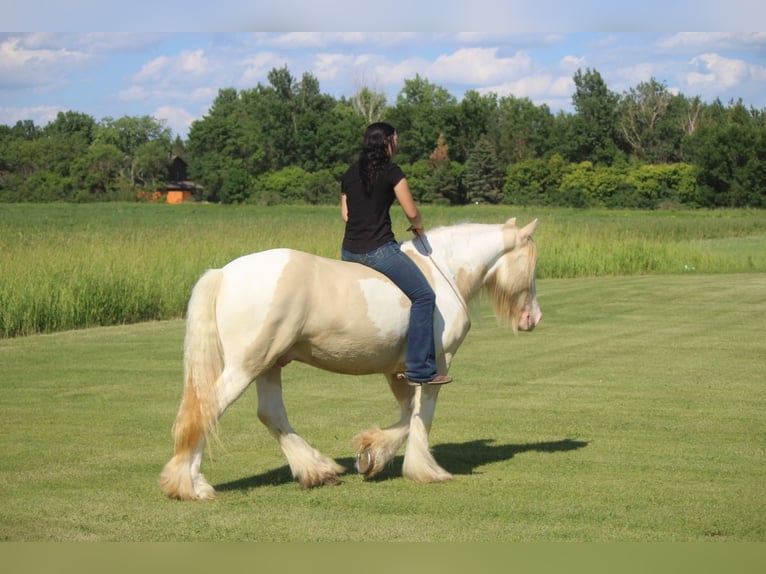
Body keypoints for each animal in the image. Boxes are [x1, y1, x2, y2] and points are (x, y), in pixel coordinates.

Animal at [159, 218, 544, 502]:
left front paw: (372, 454)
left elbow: (407, 415)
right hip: (246, 365)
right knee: (207, 408)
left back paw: (318, 470)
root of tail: (224, 273)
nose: (534, 319)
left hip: (269, 365)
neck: (441, 272)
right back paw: (192, 486)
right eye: (532, 265)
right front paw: (425, 470)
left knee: (270, 414)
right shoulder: (437, 365)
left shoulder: (398, 371)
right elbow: (422, 417)